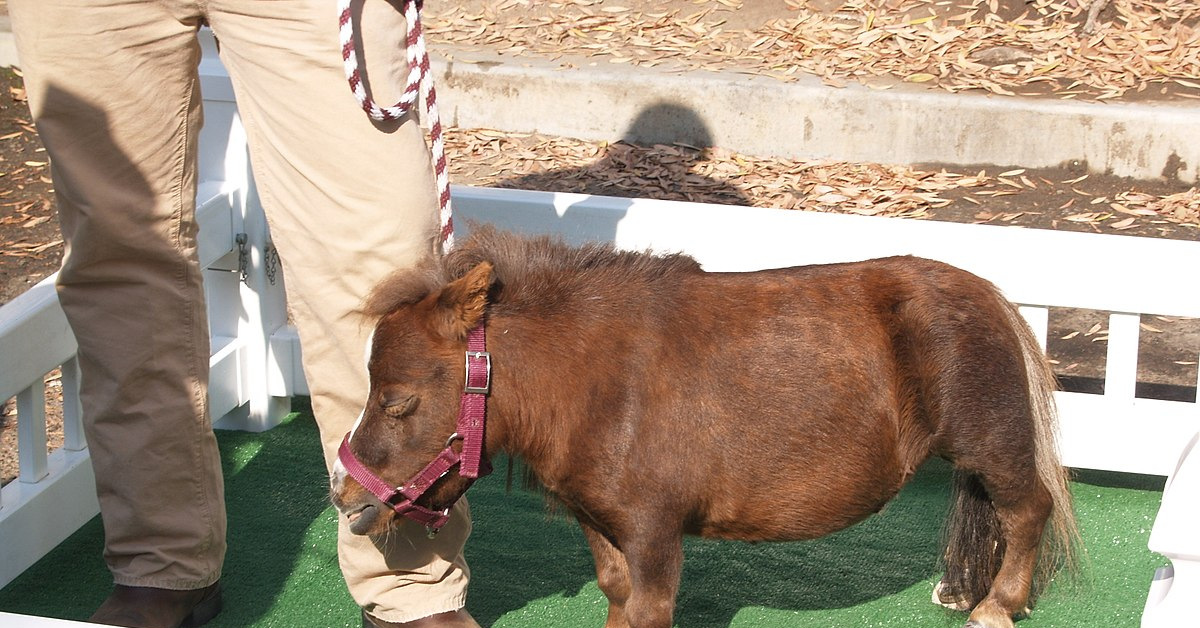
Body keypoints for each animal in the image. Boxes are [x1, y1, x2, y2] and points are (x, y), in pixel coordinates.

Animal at [328, 226, 1080, 628]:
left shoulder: (656, 537)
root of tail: (992, 296)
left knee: (1029, 509)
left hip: (991, 445)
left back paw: (997, 605)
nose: (344, 495)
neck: (596, 384)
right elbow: (616, 595)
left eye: (397, 401)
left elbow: (648, 608)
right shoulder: (603, 526)